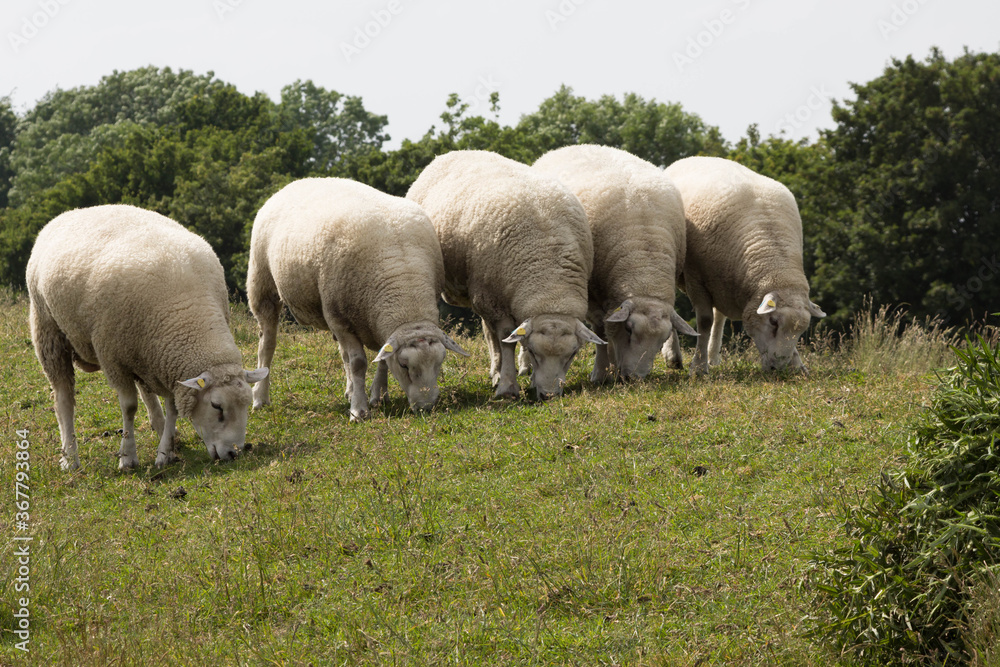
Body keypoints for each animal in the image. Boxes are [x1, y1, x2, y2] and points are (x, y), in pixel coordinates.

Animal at [26, 204, 268, 471]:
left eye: (246, 404)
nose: (234, 453)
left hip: (143, 352)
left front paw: (165, 452)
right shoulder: (113, 358)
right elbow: (129, 407)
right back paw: (70, 457)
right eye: (217, 406)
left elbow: (172, 407)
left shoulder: (168, 362)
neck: (187, 310)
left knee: (146, 391)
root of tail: (74, 212)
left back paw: (162, 430)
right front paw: (127, 457)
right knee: (63, 398)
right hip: (48, 328)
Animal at [247, 177, 468, 421]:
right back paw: (260, 397)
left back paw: (350, 389)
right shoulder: (339, 319)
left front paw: (378, 395)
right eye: (404, 365)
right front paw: (359, 410)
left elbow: (381, 358)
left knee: (343, 354)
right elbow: (359, 363)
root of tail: (299, 181)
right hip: (263, 283)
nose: (426, 407)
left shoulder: (376, 317)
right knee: (267, 342)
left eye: (440, 362)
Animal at [406, 150, 605, 400]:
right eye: (534, 351)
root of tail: (457, 151)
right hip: (483, 289)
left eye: (572, 354)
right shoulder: (493, 300)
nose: (548, 395)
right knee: (491, 335)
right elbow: (505, 340)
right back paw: (497, 371)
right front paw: (507, 386)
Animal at [532, 145, 698, 382]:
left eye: (660, 341)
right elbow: (601, 330)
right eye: (628, 329)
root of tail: (571, 146)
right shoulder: (593, 294)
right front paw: (601, 372)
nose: (634, 379)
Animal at [660, 156, 825, 373]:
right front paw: (698, 367)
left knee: (719, 316)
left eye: (801, 330)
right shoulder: (696, 278)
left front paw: (798, 365)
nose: (778, 367)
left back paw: (713, 357)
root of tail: (694, 157)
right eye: (773, 322)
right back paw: (674, 356)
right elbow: (704, 321)